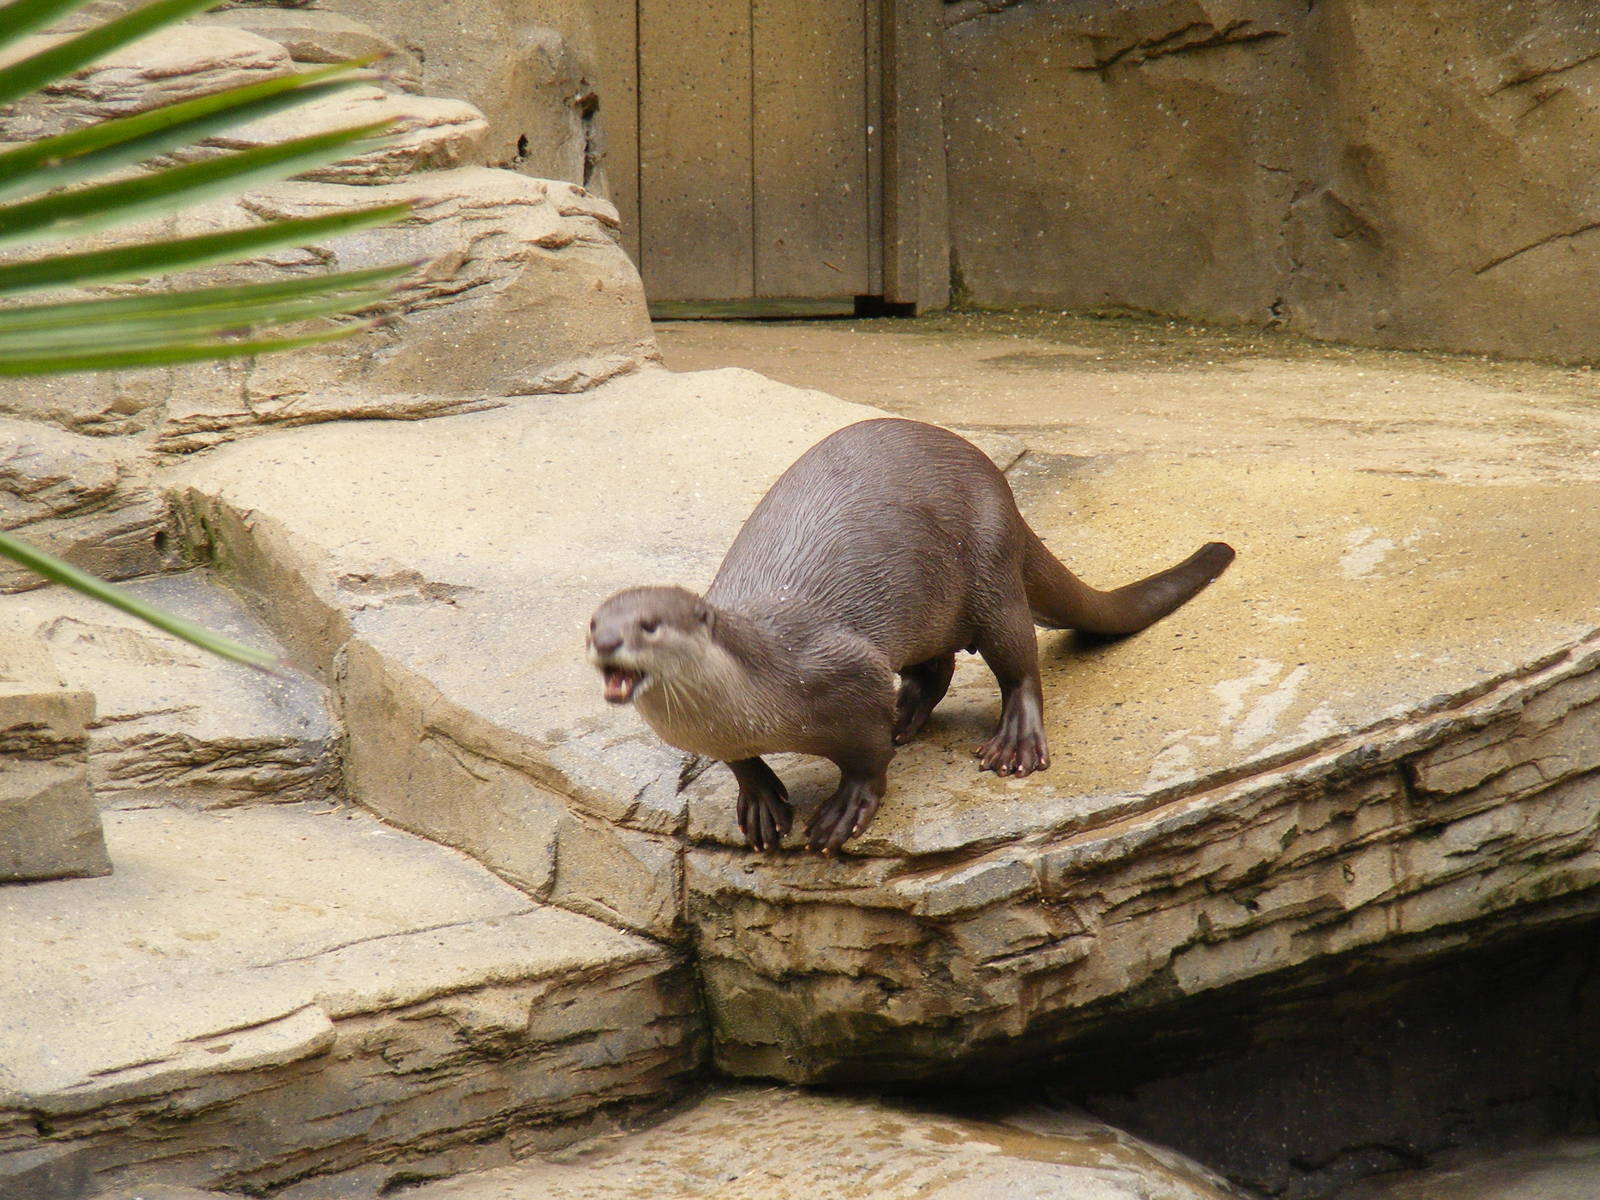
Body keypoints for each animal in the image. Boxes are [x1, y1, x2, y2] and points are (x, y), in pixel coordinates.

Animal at [587, 418, 1233, 856]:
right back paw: (907, 713)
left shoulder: (841, 669)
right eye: (593, 624)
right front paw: (763, 801)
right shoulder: (720, 735)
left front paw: (847, 806)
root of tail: (1005, 490)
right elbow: (740, 764)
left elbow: (868, 757)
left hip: (990, 570)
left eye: (648, 625)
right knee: (936, 667)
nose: (607, 644)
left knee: (1018, 662)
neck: (755, 694)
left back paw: (1014, 742)